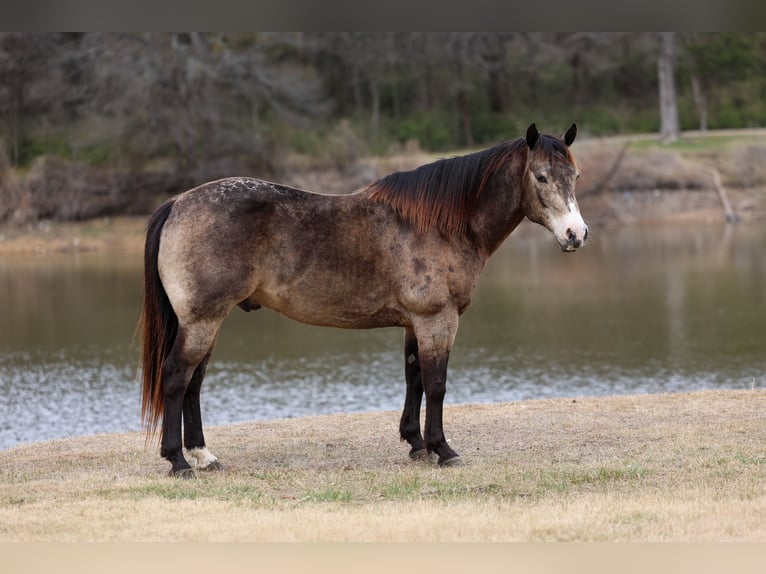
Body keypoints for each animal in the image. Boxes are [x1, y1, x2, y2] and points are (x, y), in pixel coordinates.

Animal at [139, 122, 588, 477]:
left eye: (575, 175)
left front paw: (416, 444)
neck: (441, 225)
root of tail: (177, 203)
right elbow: (437, 384)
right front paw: (443, 449)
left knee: (194, 382)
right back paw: (178, 461)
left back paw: (203, 455)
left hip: (208, 321)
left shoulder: (414, 323)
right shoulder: (437, 319)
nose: (576, 234)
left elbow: (414, 378)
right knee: (177, 377)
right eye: (541, 177)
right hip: (202, 320)